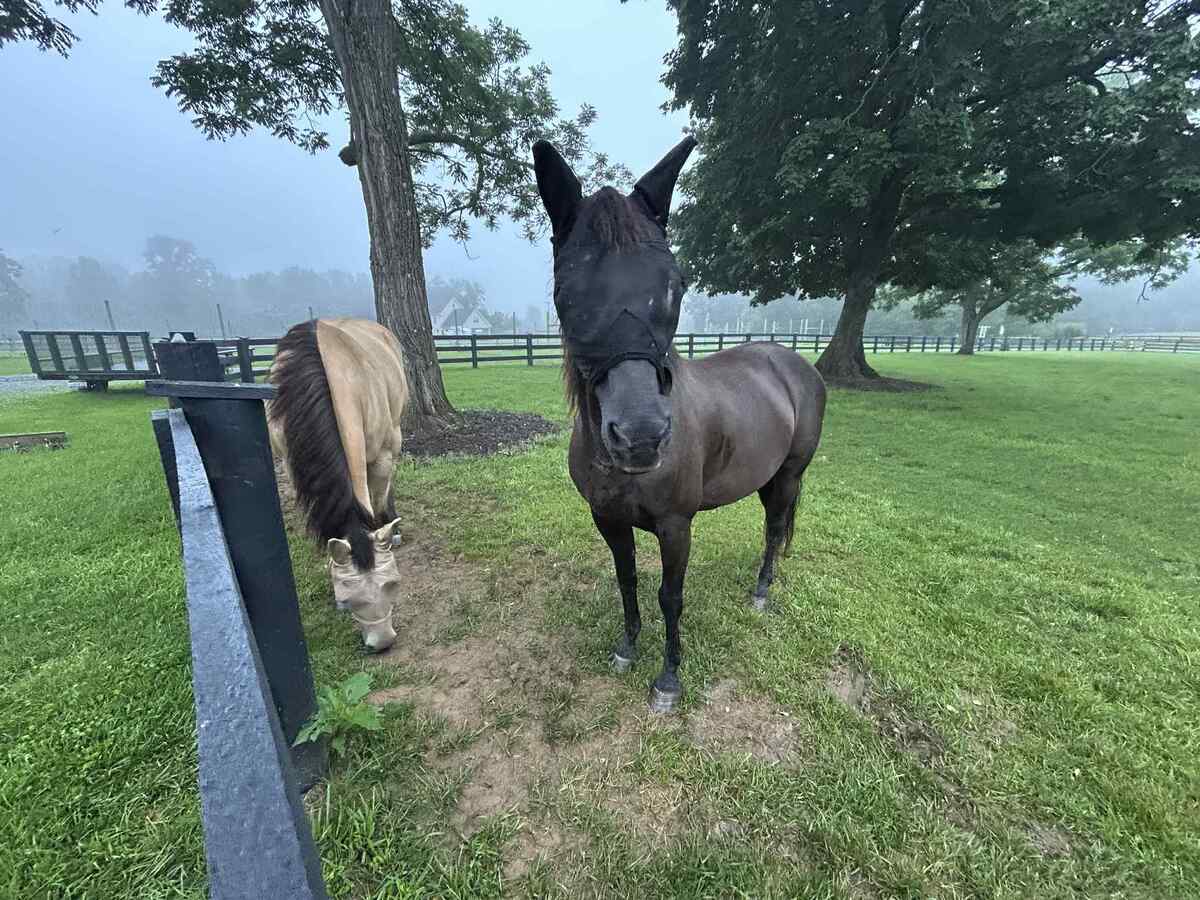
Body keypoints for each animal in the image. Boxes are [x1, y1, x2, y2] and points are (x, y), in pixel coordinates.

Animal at [267, 317, 409, 652]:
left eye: (393, 584)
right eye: (346, 599)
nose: (382, 642)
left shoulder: (382, 456)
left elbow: (378, 505)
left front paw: (388, 532)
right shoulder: (292, 464)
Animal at [532, 137, 827, 713]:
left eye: (675, 284)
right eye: (566, 291)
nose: (641, 439)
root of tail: (796, 364)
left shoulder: (676, 525)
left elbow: (671, 596)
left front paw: (668, 679)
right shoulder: (608, 519)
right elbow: (626, 581)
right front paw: (627, 647)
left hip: (789, 474)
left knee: (776, 527)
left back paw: (762, 590)